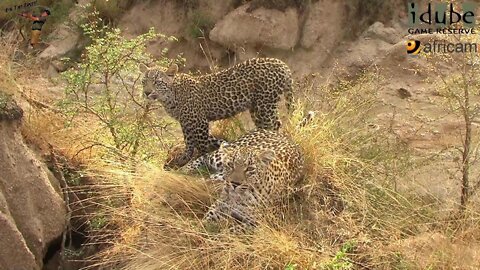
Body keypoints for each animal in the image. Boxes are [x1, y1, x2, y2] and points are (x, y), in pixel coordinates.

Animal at [141, 57, 294, 169]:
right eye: (144, 81)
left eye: (157, 82)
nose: (147, 92)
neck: (170, 97)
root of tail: (281, 63)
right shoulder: (185, 122)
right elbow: (189, 142)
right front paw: (184, 158)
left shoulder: (199, 121)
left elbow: (201, 143)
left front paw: (200, 159)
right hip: (256, 108)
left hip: (264, 104)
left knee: (274, 124)